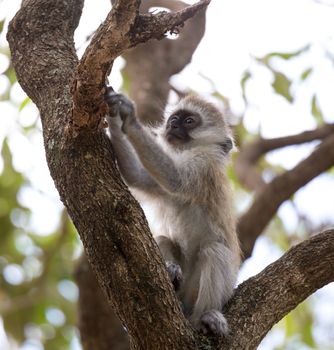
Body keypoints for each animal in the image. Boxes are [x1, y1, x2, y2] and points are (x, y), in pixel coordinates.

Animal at [105, 87, 239, 336]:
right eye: (174, 119)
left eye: (189, 121)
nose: (173, 125)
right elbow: (137, 176)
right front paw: (115, 117)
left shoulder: (204, 166)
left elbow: (174, 179)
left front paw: (130, 118)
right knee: (165, 240)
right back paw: (171, 274)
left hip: (214, 290)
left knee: (215, 251)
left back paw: (204, 318)